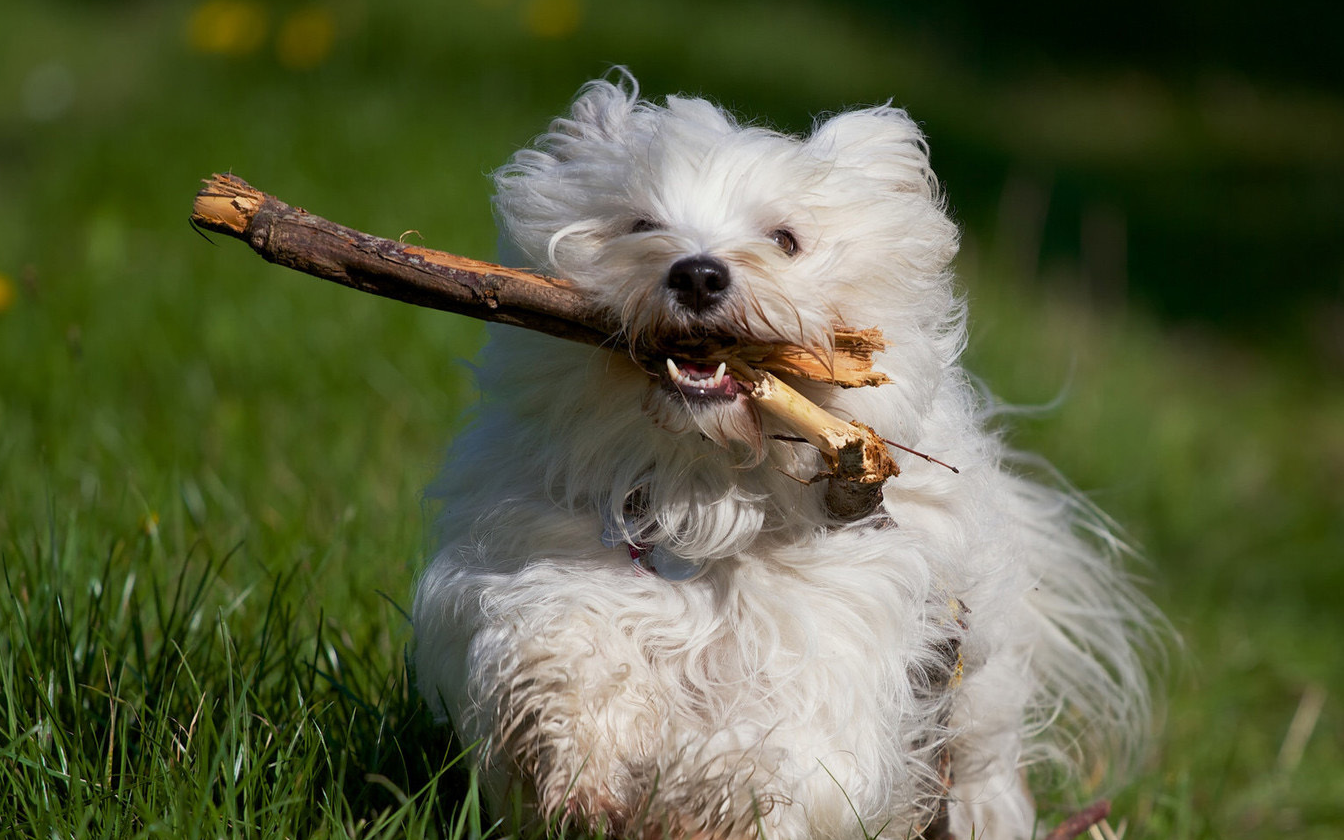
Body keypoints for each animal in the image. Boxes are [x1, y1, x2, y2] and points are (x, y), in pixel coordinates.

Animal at [411, 73, 1155, 838]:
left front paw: (695, 794)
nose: (698, 275)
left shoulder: (833, 659)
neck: (702, 496)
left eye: (785, 239)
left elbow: (773, 753)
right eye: (641, 225)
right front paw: (581, 764)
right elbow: (557, 650)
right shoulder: (545, 568)